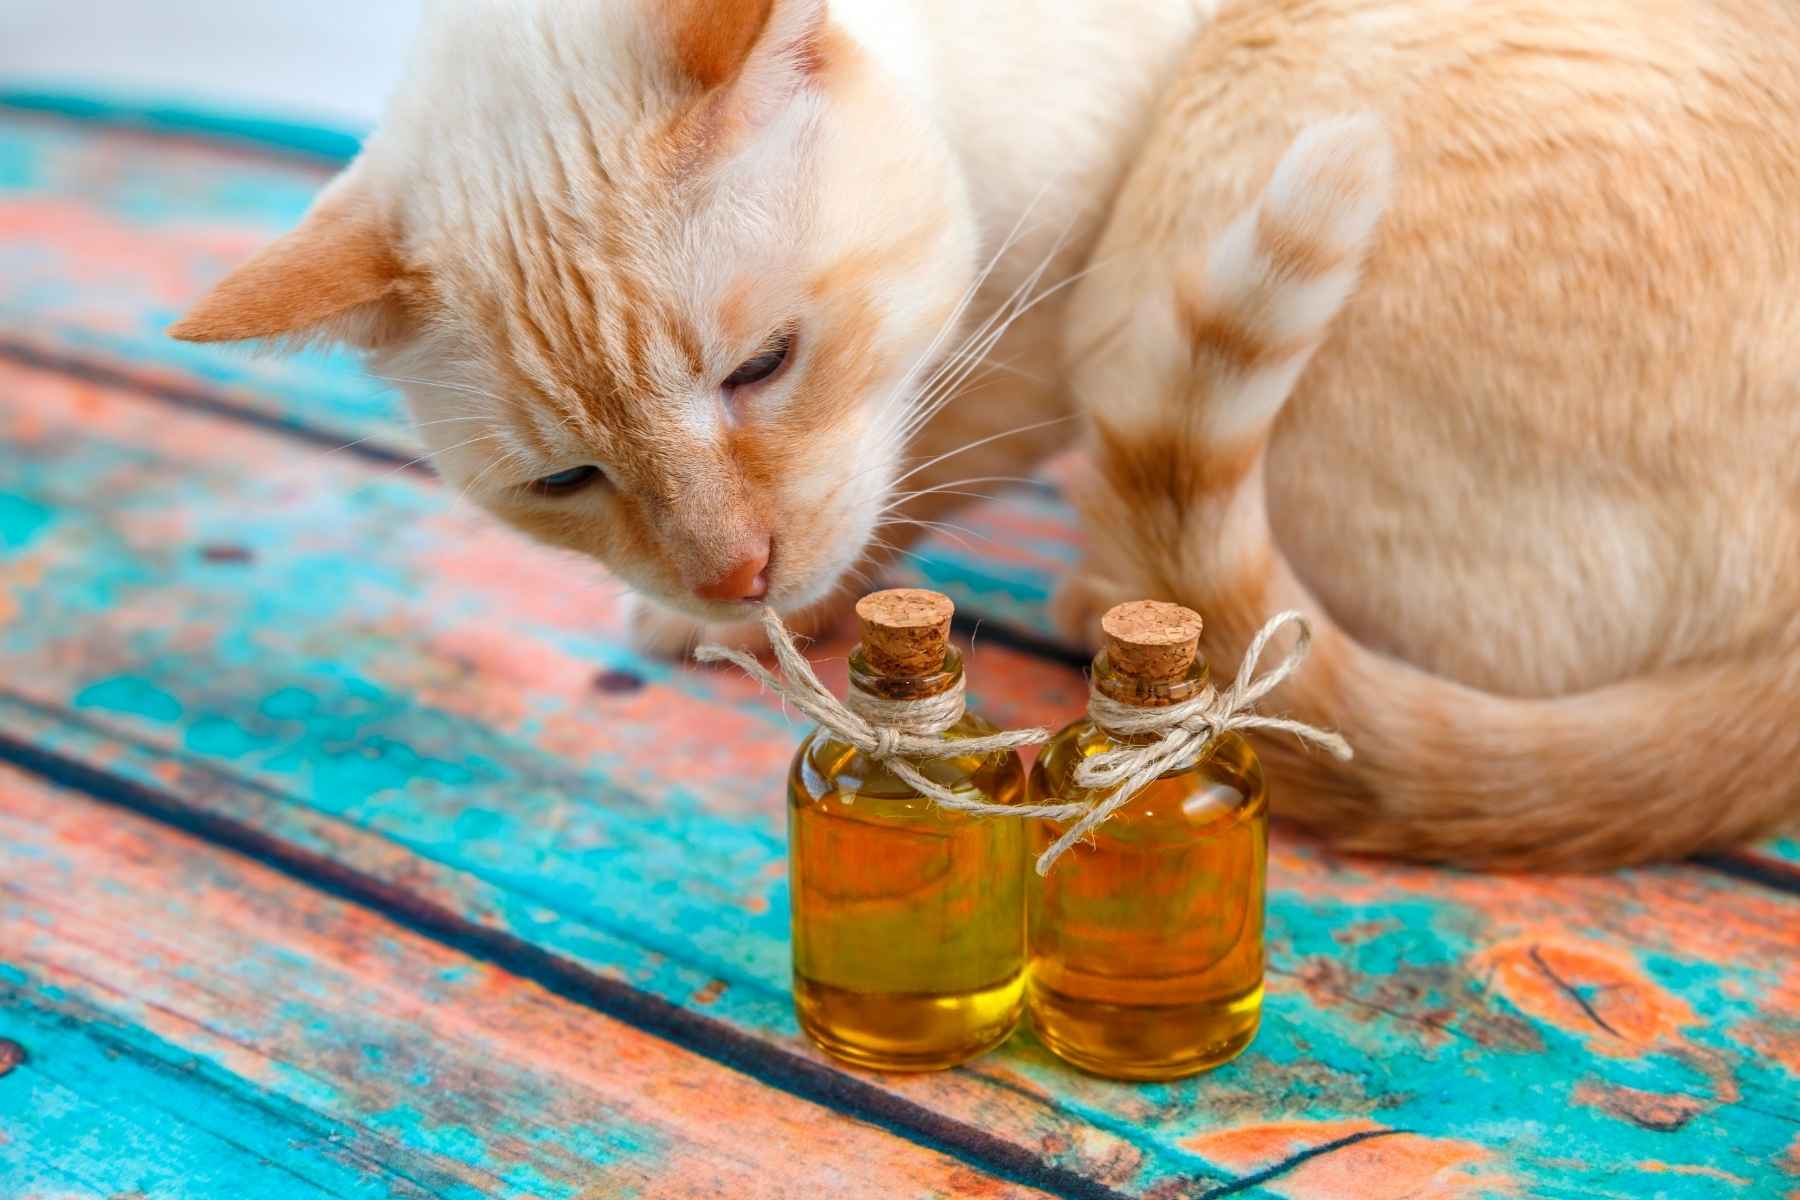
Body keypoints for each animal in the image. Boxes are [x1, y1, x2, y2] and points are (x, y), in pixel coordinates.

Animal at [171, 0, 1800, 867]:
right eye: (566, 480)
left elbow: (913, 472)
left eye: (763, 368)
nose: (732, 572)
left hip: (1219, 156)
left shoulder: (1053, 316)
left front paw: (753, 615)